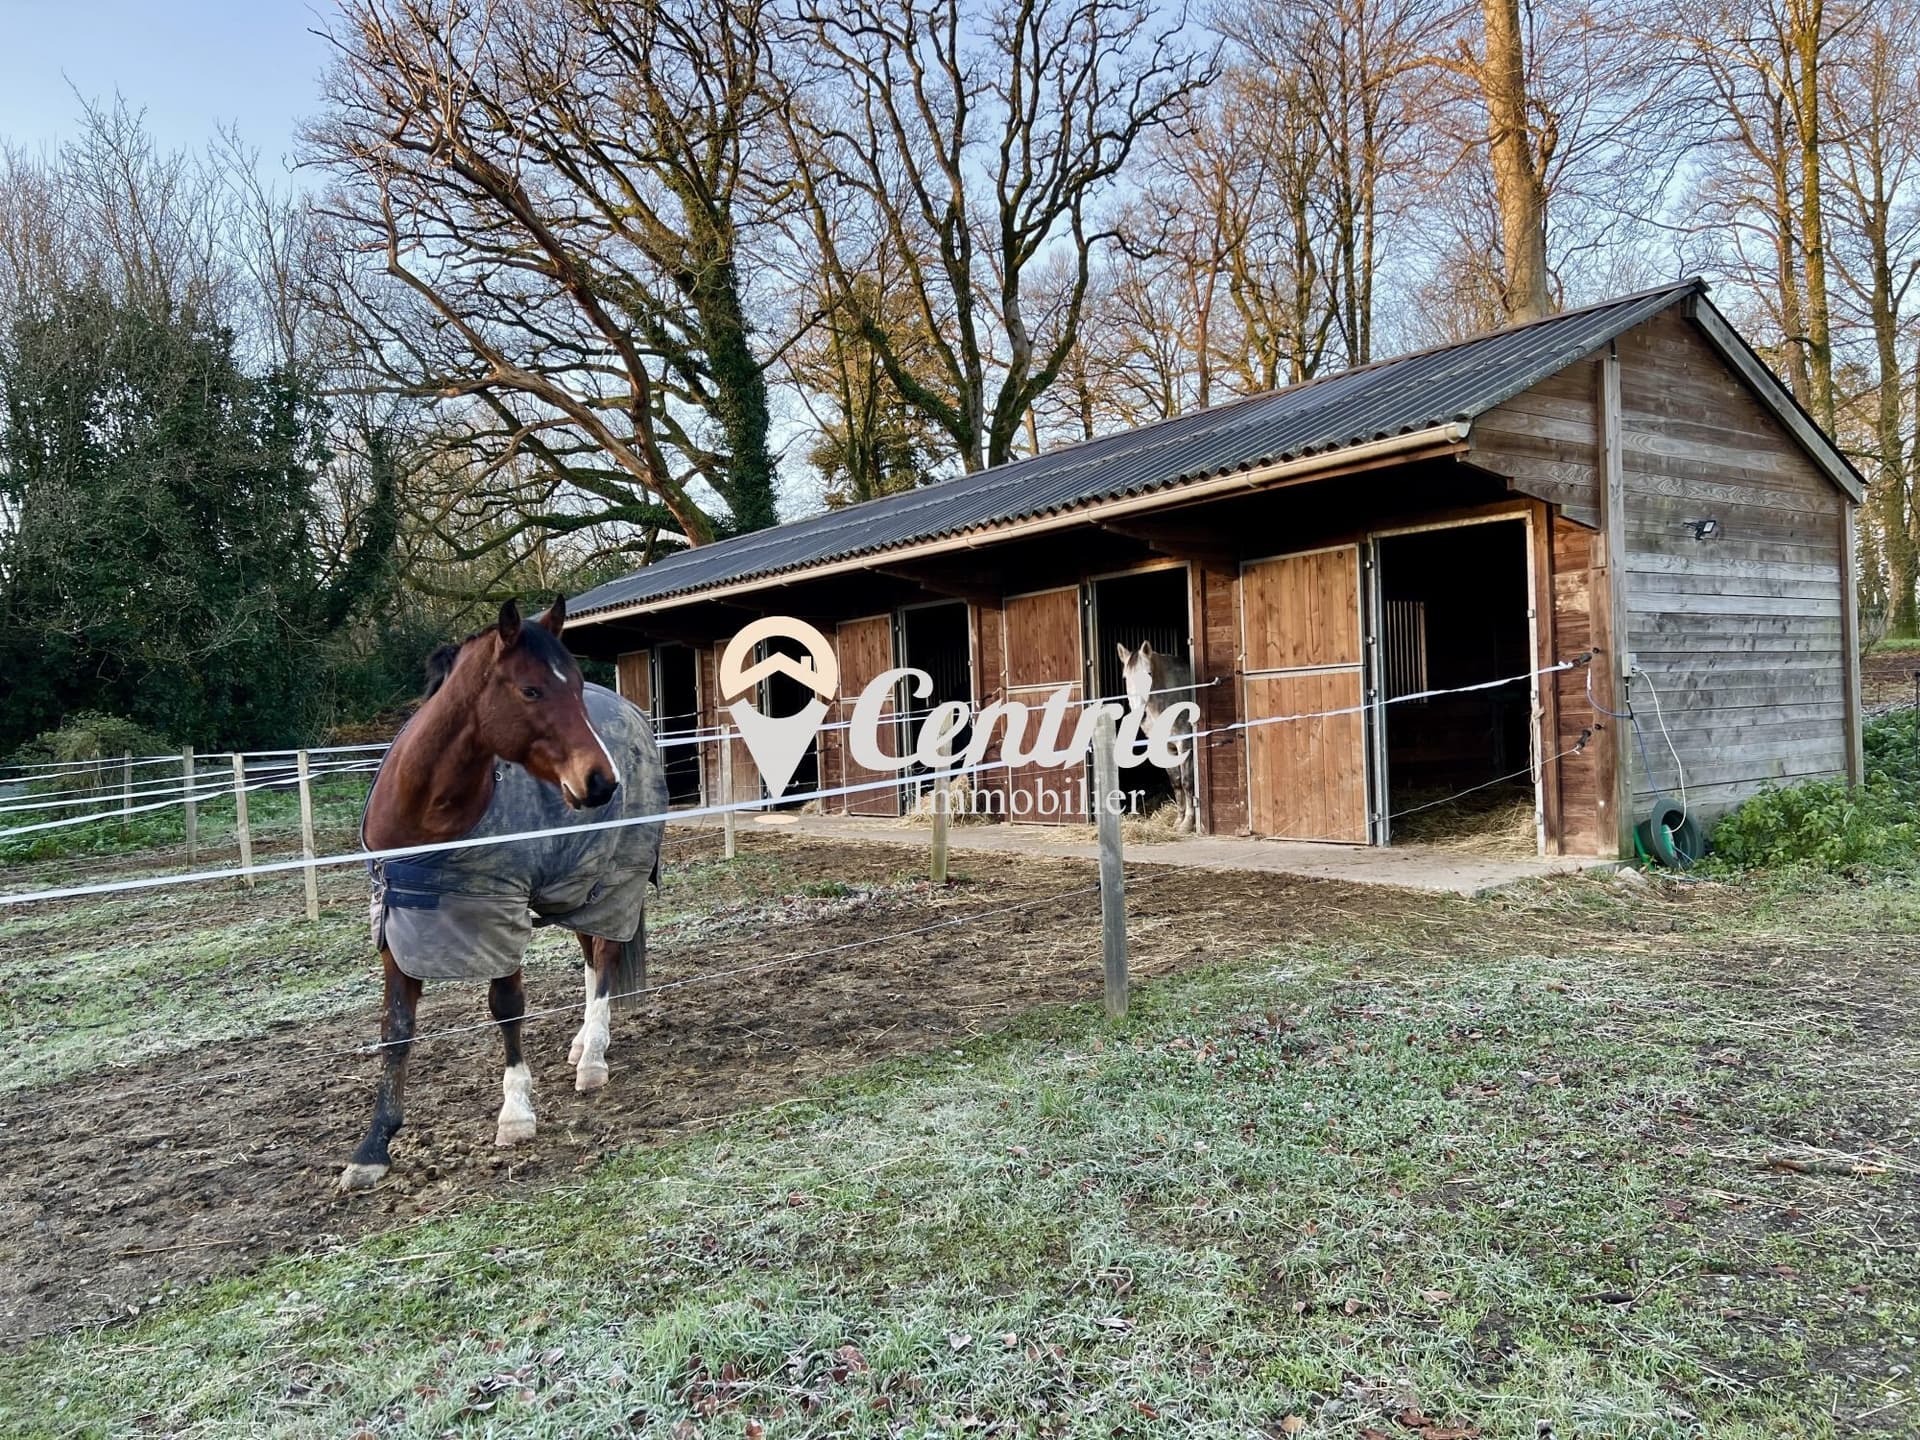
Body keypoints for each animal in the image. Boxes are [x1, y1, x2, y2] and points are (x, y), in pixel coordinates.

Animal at [341, 595, 668, 1192]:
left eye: (576, 687)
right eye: (531, 690)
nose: (601, 781)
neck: (428, 818)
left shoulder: (499, 914)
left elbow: (507, 1008)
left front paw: (516, 1114)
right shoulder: (398, 929)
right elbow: (395, 1030)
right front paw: (373, 1147)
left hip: (616, 878)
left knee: (607, 954)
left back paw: (594, 1059)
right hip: (577, 882)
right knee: (593, 957)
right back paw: (584, 1043)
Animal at [1116, 640, 1198, 832]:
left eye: (1149, 674)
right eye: (1125, 677)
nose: (1138, 711)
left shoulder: (1184, 744)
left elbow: (1187, 782)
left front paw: (1188, 823)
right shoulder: (1166, 748)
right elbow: (1176, 782)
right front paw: (1179, 820)